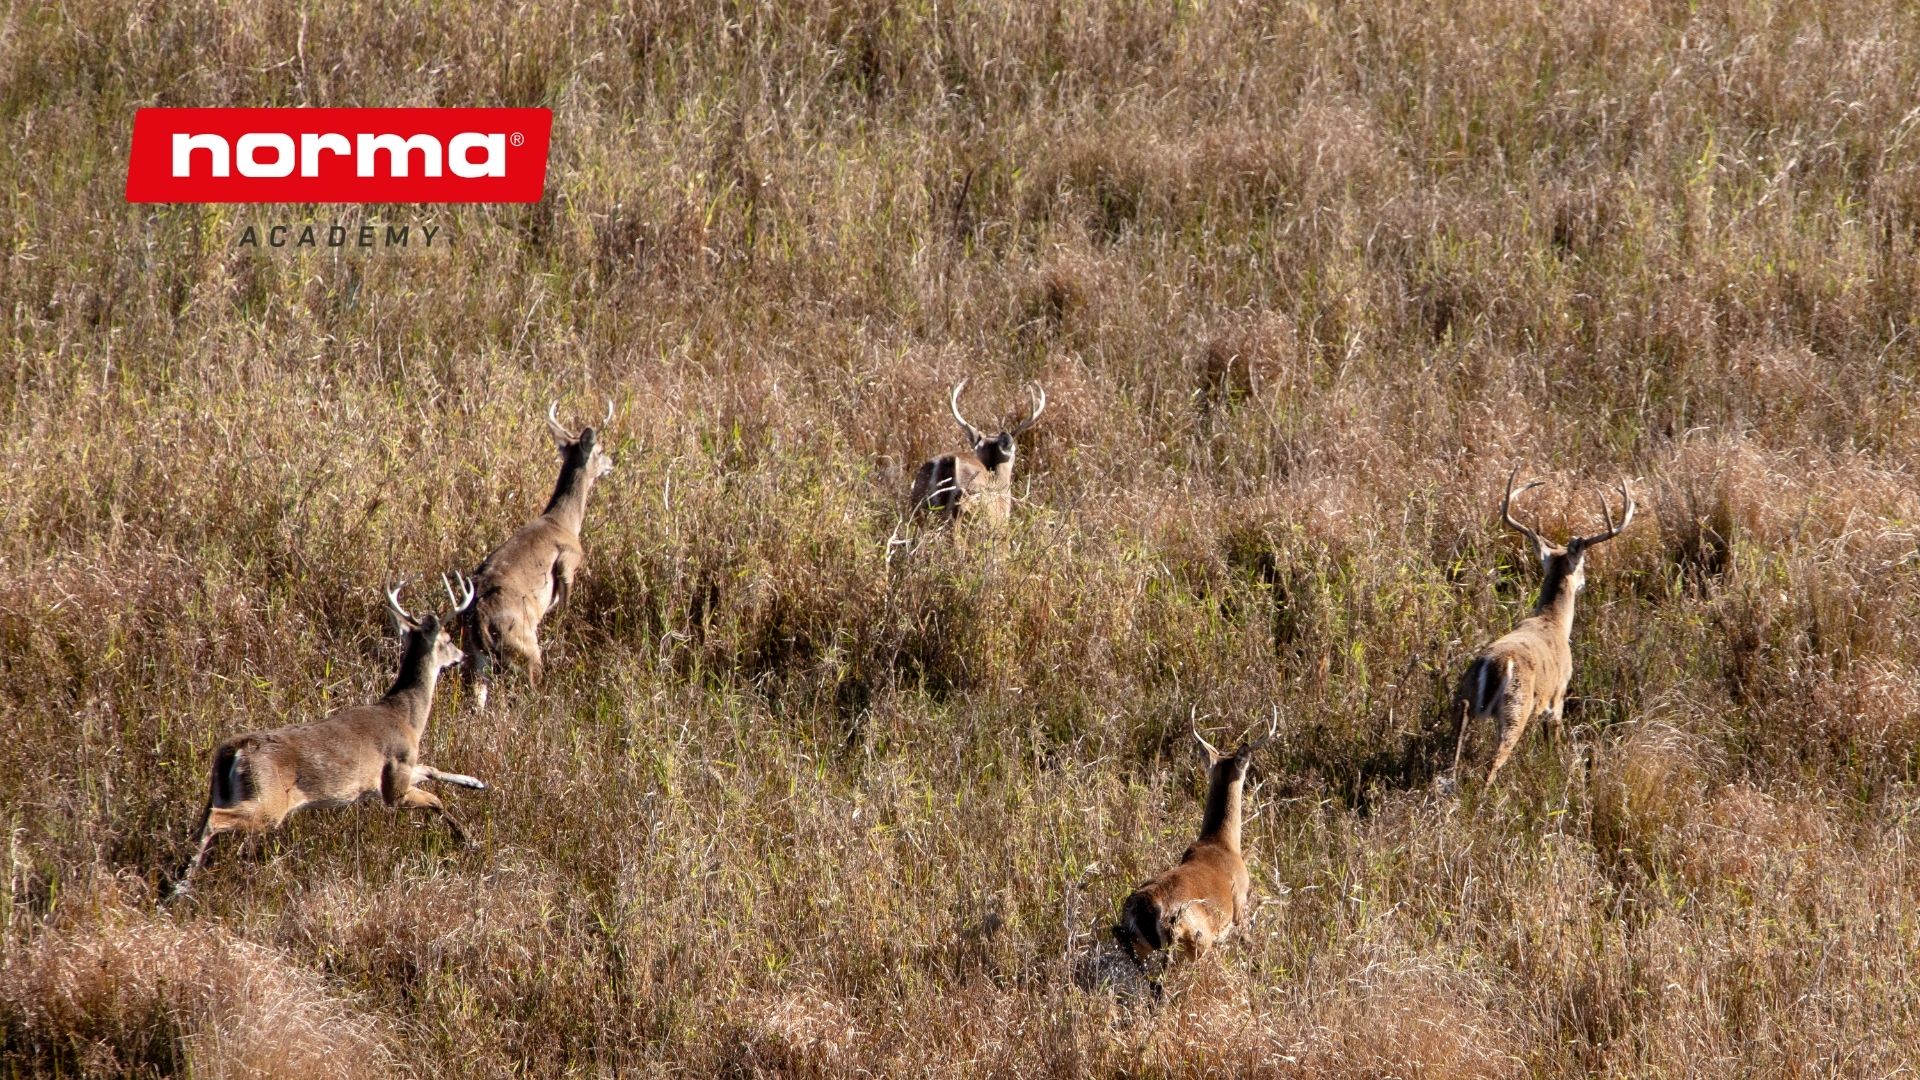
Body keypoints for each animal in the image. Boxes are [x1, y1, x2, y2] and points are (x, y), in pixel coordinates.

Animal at [170, 576, 487, 895]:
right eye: (449, 639)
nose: (462, 656)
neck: (406, 717)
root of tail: (232, 751)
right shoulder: (394, 781)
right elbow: (436, 799)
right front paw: (469, 839)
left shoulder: (387, 778)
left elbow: (431, 770)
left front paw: (476, 783)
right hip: (268, 800)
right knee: (215, 821)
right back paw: (182, 886)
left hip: (220, 792)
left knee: (201, 823)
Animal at [458, 397, 614, 707]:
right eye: (600, 450)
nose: (611, 463)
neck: (563, 522)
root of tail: (478, 618)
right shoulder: (569, 561)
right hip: (525, 645)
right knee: (531, 687)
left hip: (476, 657)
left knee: (477, 696)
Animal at [1451, 466, 1635, 787]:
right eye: (1583, 565)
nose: (1584, 582)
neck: (1553, 622)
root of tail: (1495, 665)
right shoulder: (1559, 694)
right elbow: (1555, 740)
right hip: (1517, 707)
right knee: (1493, 762)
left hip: (1465, 695)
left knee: (1456, 746)